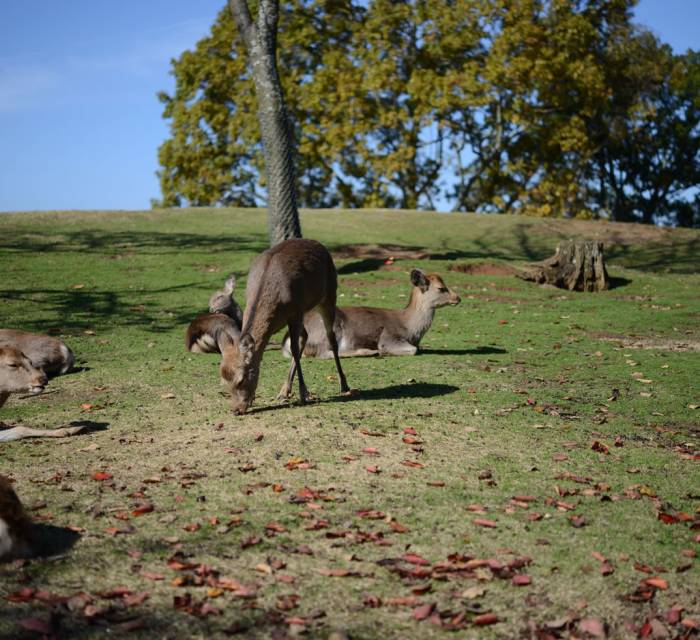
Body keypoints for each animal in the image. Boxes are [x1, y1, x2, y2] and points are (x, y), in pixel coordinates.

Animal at [219, 240, 350, 416]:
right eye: (224, 381)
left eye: (241, 379)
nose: (235, 410)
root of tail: (321, 245)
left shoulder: (295, 311)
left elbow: (294, 348)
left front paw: (303, 394)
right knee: (305, 335)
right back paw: (284, 391)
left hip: (329, 295)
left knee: (331, 339)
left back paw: (344, 384)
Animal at [282, 268, 462, 360]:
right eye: (441, 288)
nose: (458, 298)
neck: (409, 328)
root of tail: (285, 342)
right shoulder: (389, 337)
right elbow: (413, 350)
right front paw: (382, 351)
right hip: (328, 330)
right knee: (324, 353)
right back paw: (370, 351)